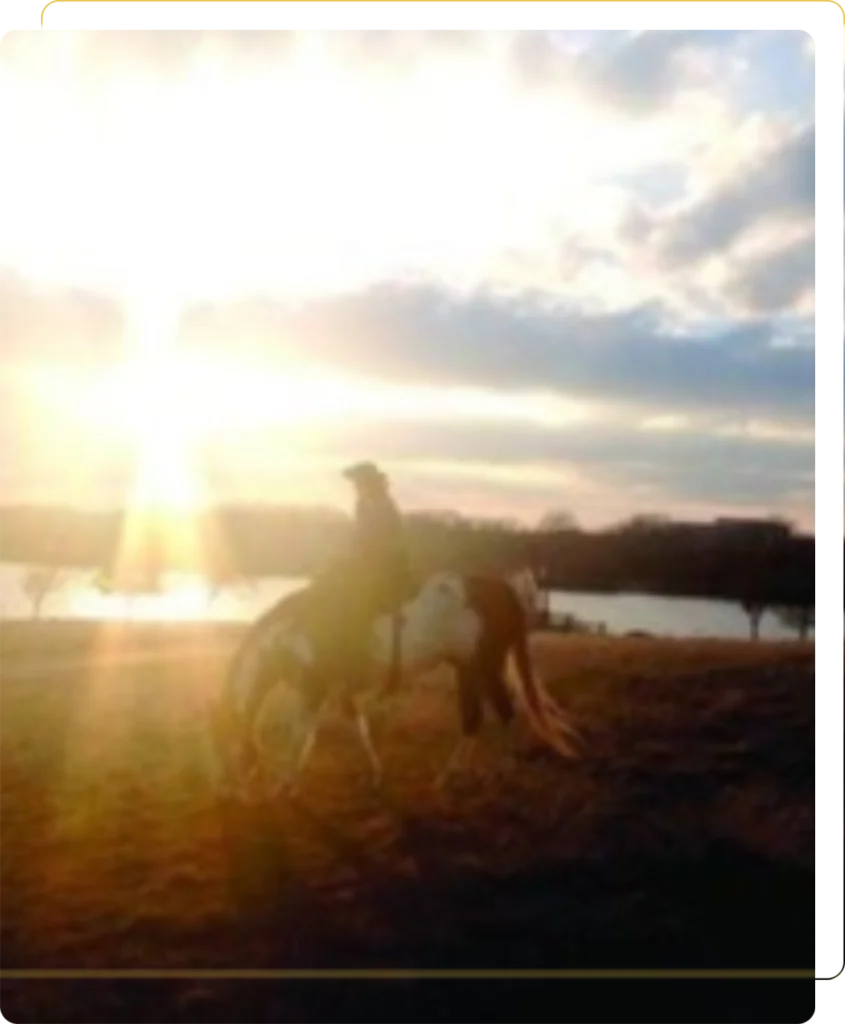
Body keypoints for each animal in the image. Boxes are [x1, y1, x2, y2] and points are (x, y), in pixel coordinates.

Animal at [207, 569, 581, 798]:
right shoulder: (337, 689)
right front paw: (375, 775)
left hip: (484, 668)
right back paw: (452, 775)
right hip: (468, 670)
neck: (293, 631)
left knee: (504, 713)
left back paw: (500, 773)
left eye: (225, 743)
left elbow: (299, 733)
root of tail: (499, 587)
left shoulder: (313, 687)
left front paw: (285, 785)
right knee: (473, 720)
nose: (228, 793)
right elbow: (357, 728)